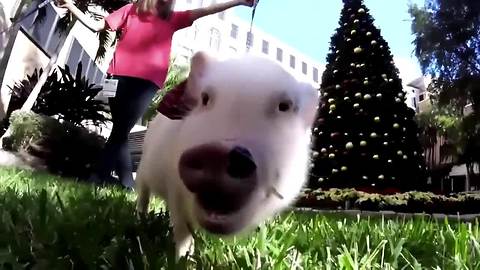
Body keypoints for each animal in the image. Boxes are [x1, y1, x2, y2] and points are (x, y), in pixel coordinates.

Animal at [134, 50, 318, 260]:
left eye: (284, 106)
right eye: (205, 98)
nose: (216, 152)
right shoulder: (174, 187)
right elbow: (182, 232)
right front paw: (183, 259)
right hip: (142, 170)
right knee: (143, 194)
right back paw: (140, 219)